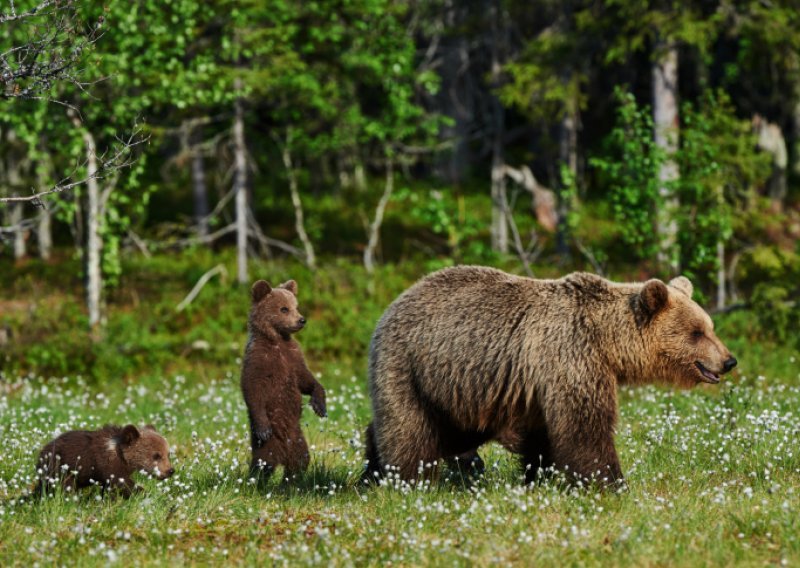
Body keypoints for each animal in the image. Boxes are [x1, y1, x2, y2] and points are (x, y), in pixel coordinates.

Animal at [35, 424, 173, 494]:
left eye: (168, 454)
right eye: (156, 455)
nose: (170, 471)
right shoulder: (107, 465)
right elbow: (121, 483)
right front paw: (142, 492)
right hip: (58, 467)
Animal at [239, 280, 326, 480]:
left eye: (296, 306)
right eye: (283, 309)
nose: (301, 320)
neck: (277, 340)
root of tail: (283, 454)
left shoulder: (293, 358)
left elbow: (306, 380)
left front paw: (319, 405)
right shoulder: (259, 360)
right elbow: (252, 388)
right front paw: (263, 427)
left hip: (298, 439)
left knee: (300, 461)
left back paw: (289, 481)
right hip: (268, 444)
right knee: (263, 464)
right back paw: (256, 481)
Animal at [362, 266, 736, 484]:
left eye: (710, 327)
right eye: (696, 332)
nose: (728, 360)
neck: (607, 341)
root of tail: (394, 303)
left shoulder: (537, 382)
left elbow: (543, 433)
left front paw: (541, 476)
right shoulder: (571, 354)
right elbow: (585, 426)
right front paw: (611, 483)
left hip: (456, 388)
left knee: (451, 432)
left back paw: (371, 468)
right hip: (410, 365)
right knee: (409, 429)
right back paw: (404, 478)